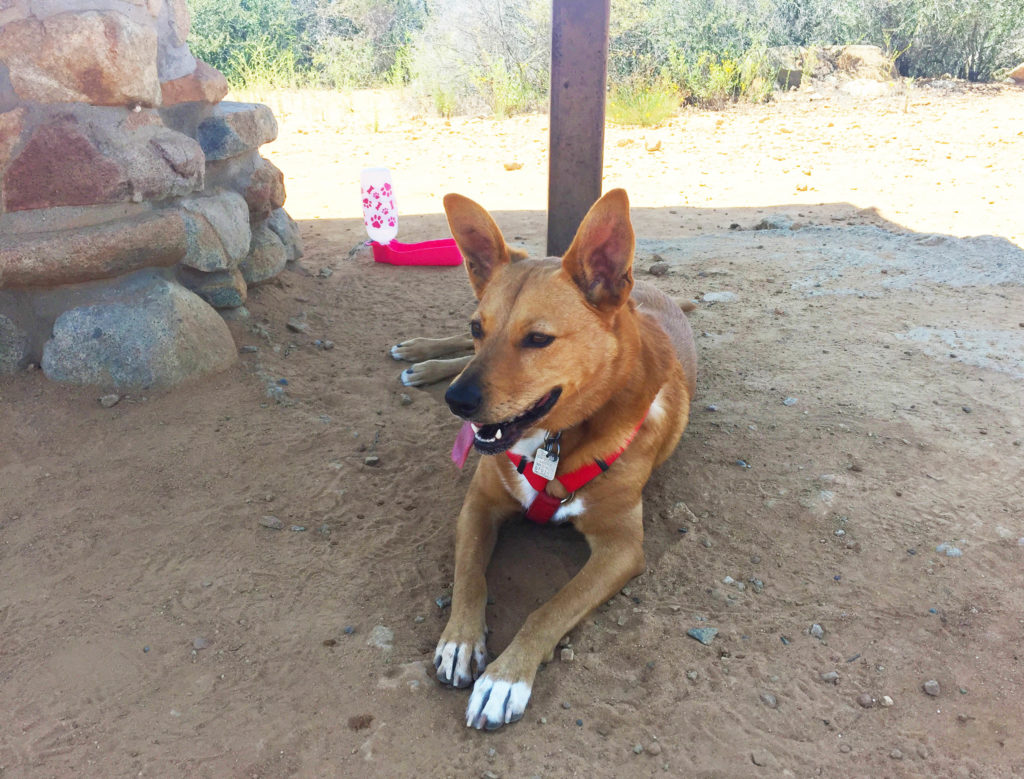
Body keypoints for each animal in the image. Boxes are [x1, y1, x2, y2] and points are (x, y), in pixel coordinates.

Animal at [432, 188, 696, 728]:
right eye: (477, 326)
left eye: (538, 339)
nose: (456, 402)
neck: (554, 442)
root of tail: (647, 291)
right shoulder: (479, 505)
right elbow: (469, 576)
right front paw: (460, 640)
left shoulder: (621, 547)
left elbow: (551, 607)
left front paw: (506, 678)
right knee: (451, 352)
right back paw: (418, 357)